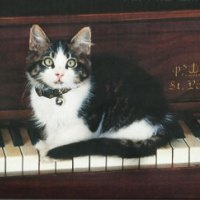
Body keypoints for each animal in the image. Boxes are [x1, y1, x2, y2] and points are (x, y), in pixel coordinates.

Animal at [25, 25, 182, 159]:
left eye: (71, 63)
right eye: (47, 61)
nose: (59, 74)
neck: (58, 95)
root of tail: (164, 117)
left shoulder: (85, 128)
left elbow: (63, 140)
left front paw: (48, 152)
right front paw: (43, 145)